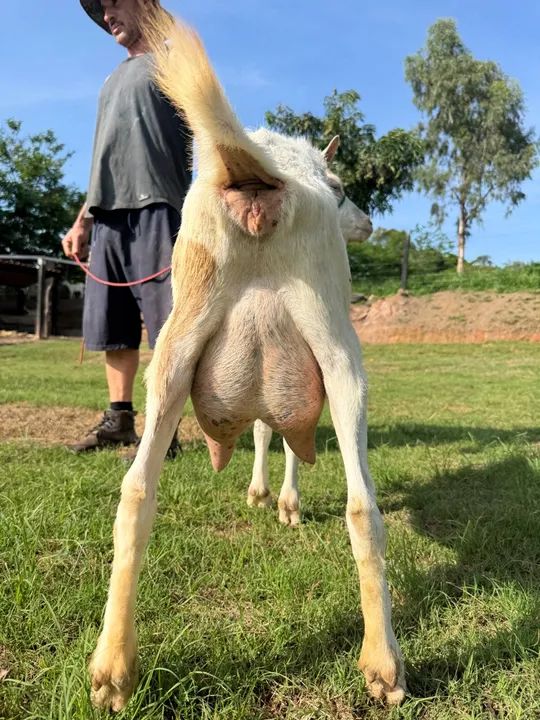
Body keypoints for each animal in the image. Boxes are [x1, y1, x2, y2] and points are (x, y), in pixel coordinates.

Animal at [88, 12, 405, 711]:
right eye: (341, 189)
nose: (367, 222)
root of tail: (256, 173)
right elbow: (283, 437)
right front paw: (281, 503)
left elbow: (266, 429)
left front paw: (262, 496)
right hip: (340, 348)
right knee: (362, 505)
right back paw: (384, 665)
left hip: (174, 348)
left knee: (136, 490)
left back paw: (112, 670)